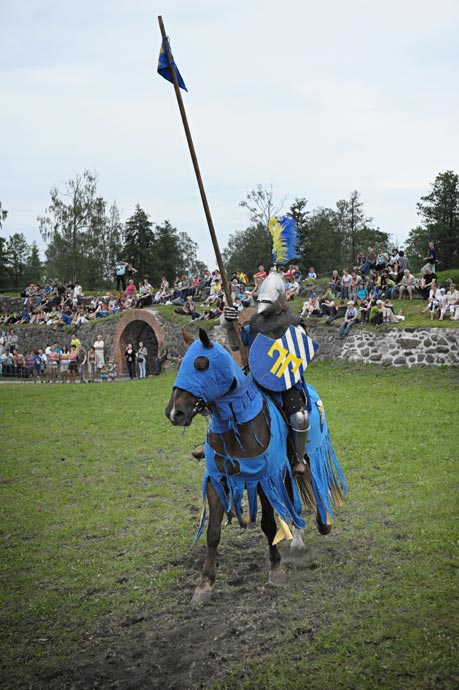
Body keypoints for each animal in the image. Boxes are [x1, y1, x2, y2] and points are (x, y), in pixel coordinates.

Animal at [164, 328, 346, 600]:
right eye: (180, 364)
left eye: (201, 364)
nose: (174, 413)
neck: (236, 426)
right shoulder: (218, 482)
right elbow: (213, 532)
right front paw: (205, 584)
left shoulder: (263, 479)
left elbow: (269, 525)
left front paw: (276, 569)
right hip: (284, 471)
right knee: (292, 499)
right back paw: (298, 538)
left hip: (308, 454)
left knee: (313, 482)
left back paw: (322, 524)